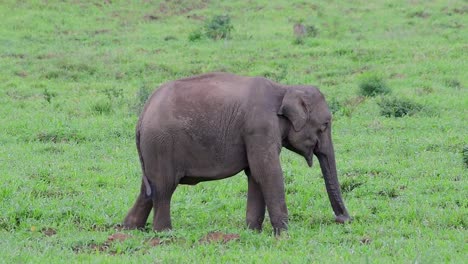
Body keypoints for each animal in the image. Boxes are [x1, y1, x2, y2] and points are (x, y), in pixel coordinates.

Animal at [124, 72, 352, 235]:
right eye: (325, 125)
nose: (344, 220)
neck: (284, 89)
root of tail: (142, 115)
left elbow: (255, 175)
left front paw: (253, 232)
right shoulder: (259, 128)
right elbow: (267, 172)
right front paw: (285, 235)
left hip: (153, 149)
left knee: (148, 190)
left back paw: (129, 229)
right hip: (161, 144)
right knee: (164, 188)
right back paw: (164, 233)